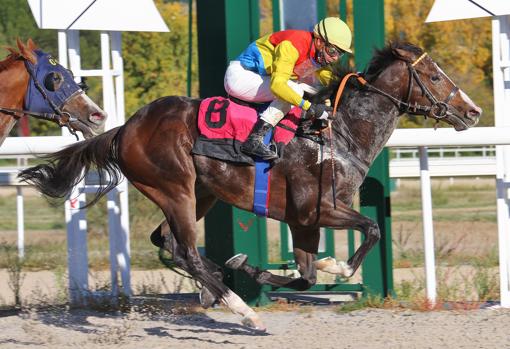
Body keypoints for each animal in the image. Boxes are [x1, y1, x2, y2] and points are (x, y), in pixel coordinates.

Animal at [19, 42, 482, 328]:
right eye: (434, 77)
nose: (473, 111)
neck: (338, 133)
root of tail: (125, 128)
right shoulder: (316, 210)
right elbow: (370, 229)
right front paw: (338, 266)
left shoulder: (302, 221)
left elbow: (306, 277)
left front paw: (259, 267)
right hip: (176, 188)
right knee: (186, 250)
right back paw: (242, 310)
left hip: (199, 193)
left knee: (168, 242)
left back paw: (218, 285)